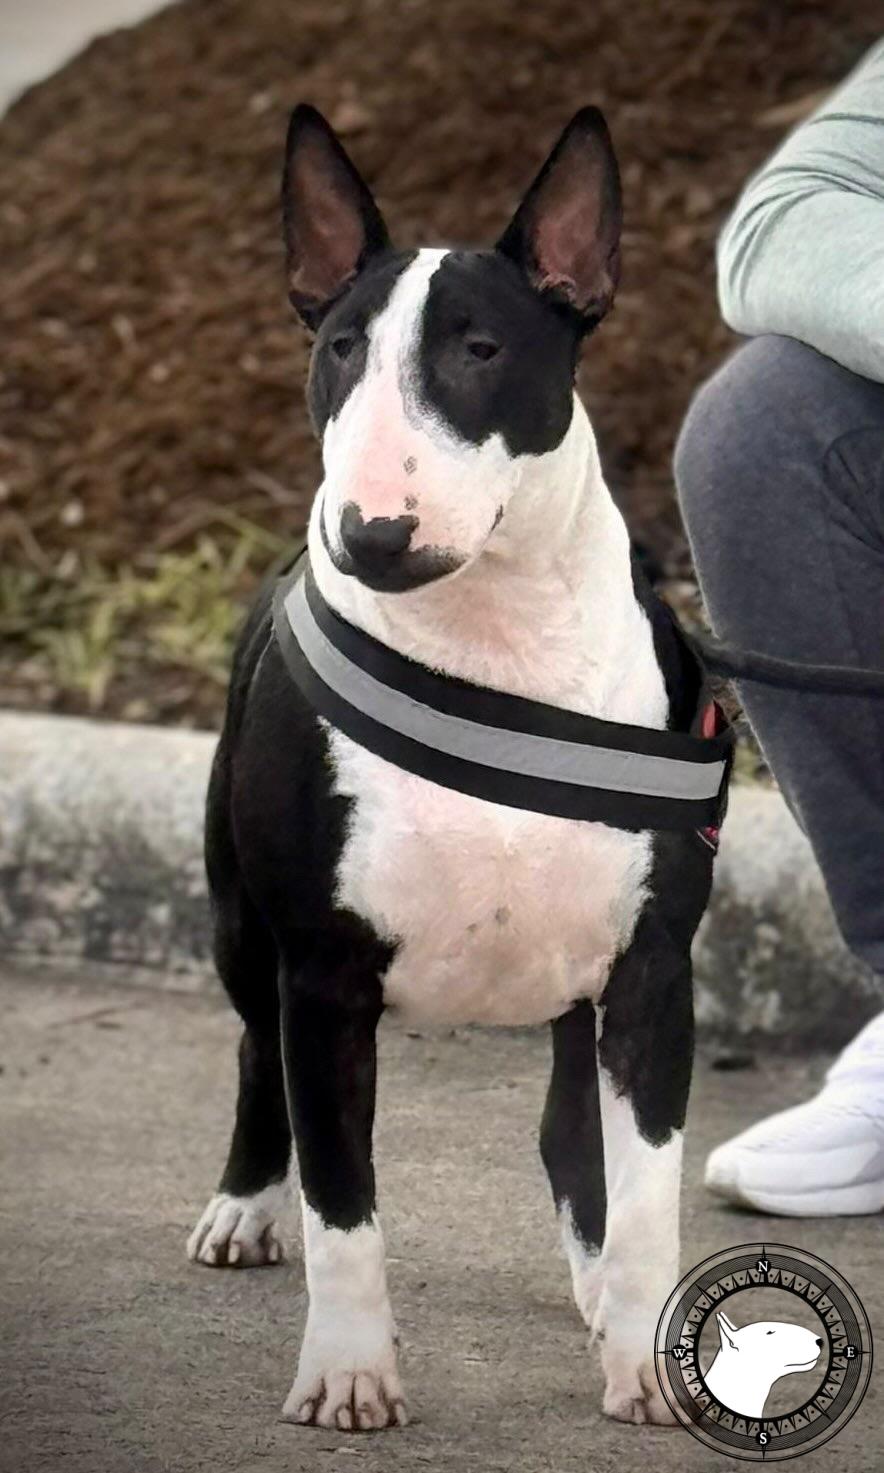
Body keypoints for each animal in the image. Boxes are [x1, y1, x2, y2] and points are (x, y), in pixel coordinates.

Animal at [186, 109, 718, 1431]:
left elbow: (645, 1192)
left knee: (567, 1126)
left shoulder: (651, 970)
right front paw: (347, 1375)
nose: (370, 535)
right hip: (238, 924)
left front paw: (644, 1358)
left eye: (481, 348)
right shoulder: (325, 976)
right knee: (251, 1048)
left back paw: (592, 1286)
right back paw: (242, 1204)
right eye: (338, 349)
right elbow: (344, 1206)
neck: (495, 649)